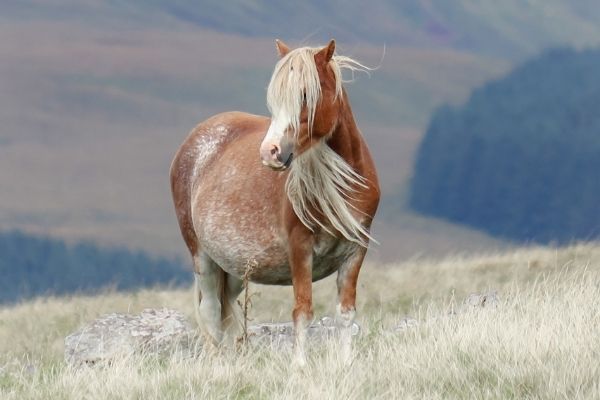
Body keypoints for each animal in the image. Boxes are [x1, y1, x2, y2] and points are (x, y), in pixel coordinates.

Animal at [169, 39, 380, 362]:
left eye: (306, 95)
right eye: (274, 100)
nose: (270, 152)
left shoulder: (355, 251)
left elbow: (346, 313)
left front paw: (345, 362)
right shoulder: (300, 249)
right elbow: (303, 311)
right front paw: (299, 366)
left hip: (233, 267)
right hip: (202, 256)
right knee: (210, 312)